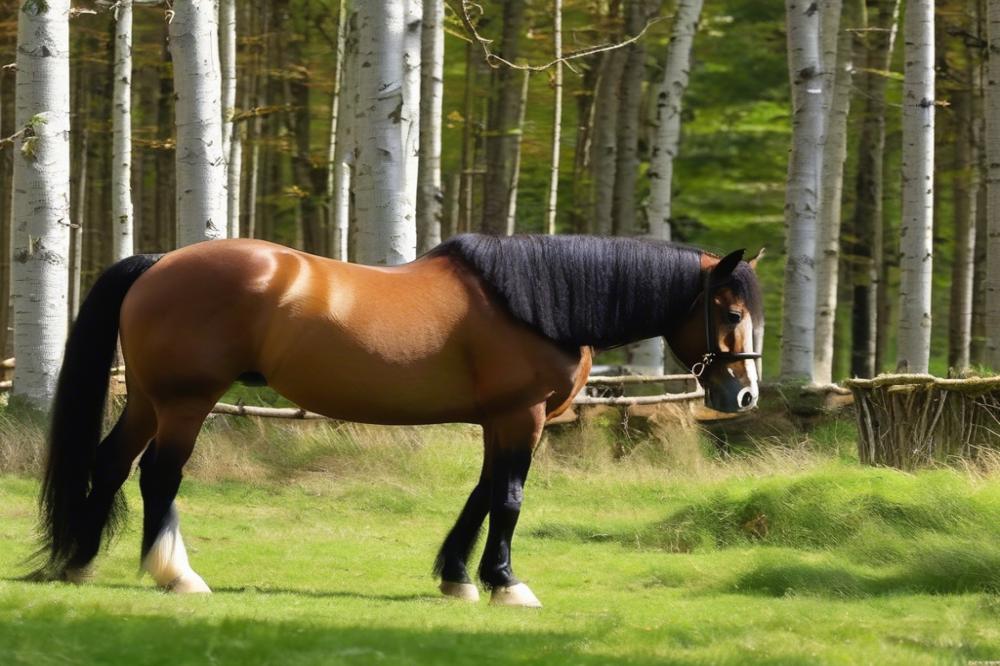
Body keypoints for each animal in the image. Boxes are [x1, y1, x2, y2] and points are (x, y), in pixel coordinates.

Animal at [31, 233, 764, 608]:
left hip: (148, 399)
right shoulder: (520, 416)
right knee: (158, 476)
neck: (534, 302)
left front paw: (458, 578)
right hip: (186, 401)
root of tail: (161, 263)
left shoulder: (499, 420)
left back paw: (79, 562)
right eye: (730, 312)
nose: (746, 396)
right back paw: (175, 575)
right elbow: (509, 498)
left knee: (110, 463)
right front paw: (506, 584)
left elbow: (481, 496)